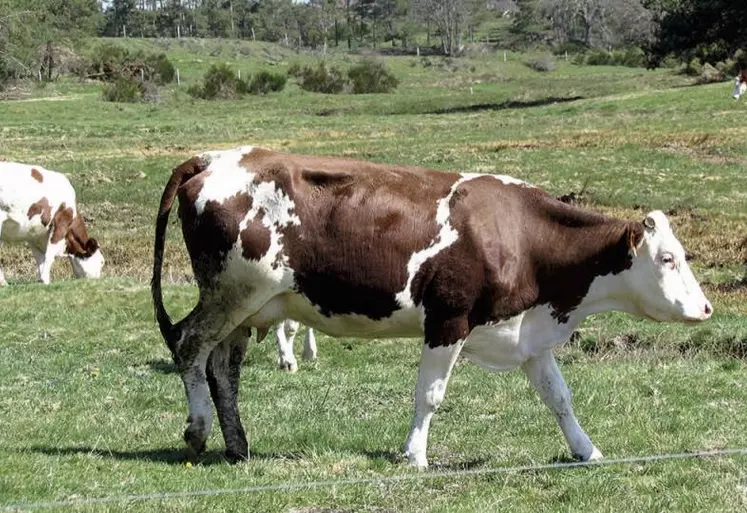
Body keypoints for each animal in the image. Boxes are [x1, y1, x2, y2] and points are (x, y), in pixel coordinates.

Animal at [150, 146, 712, 466]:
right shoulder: (448, 320)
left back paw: (238, 446)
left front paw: (586, 449)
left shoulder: (528, 334)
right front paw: (415, 455)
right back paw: (199, 432)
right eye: (666, 258)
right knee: (189, 345)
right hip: (232, 293)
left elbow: (560, 398)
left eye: (682, 254)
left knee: (223, 368)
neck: (520, 235)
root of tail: (215, 158)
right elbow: (430, 396)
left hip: (247, 307)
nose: (705, 309)